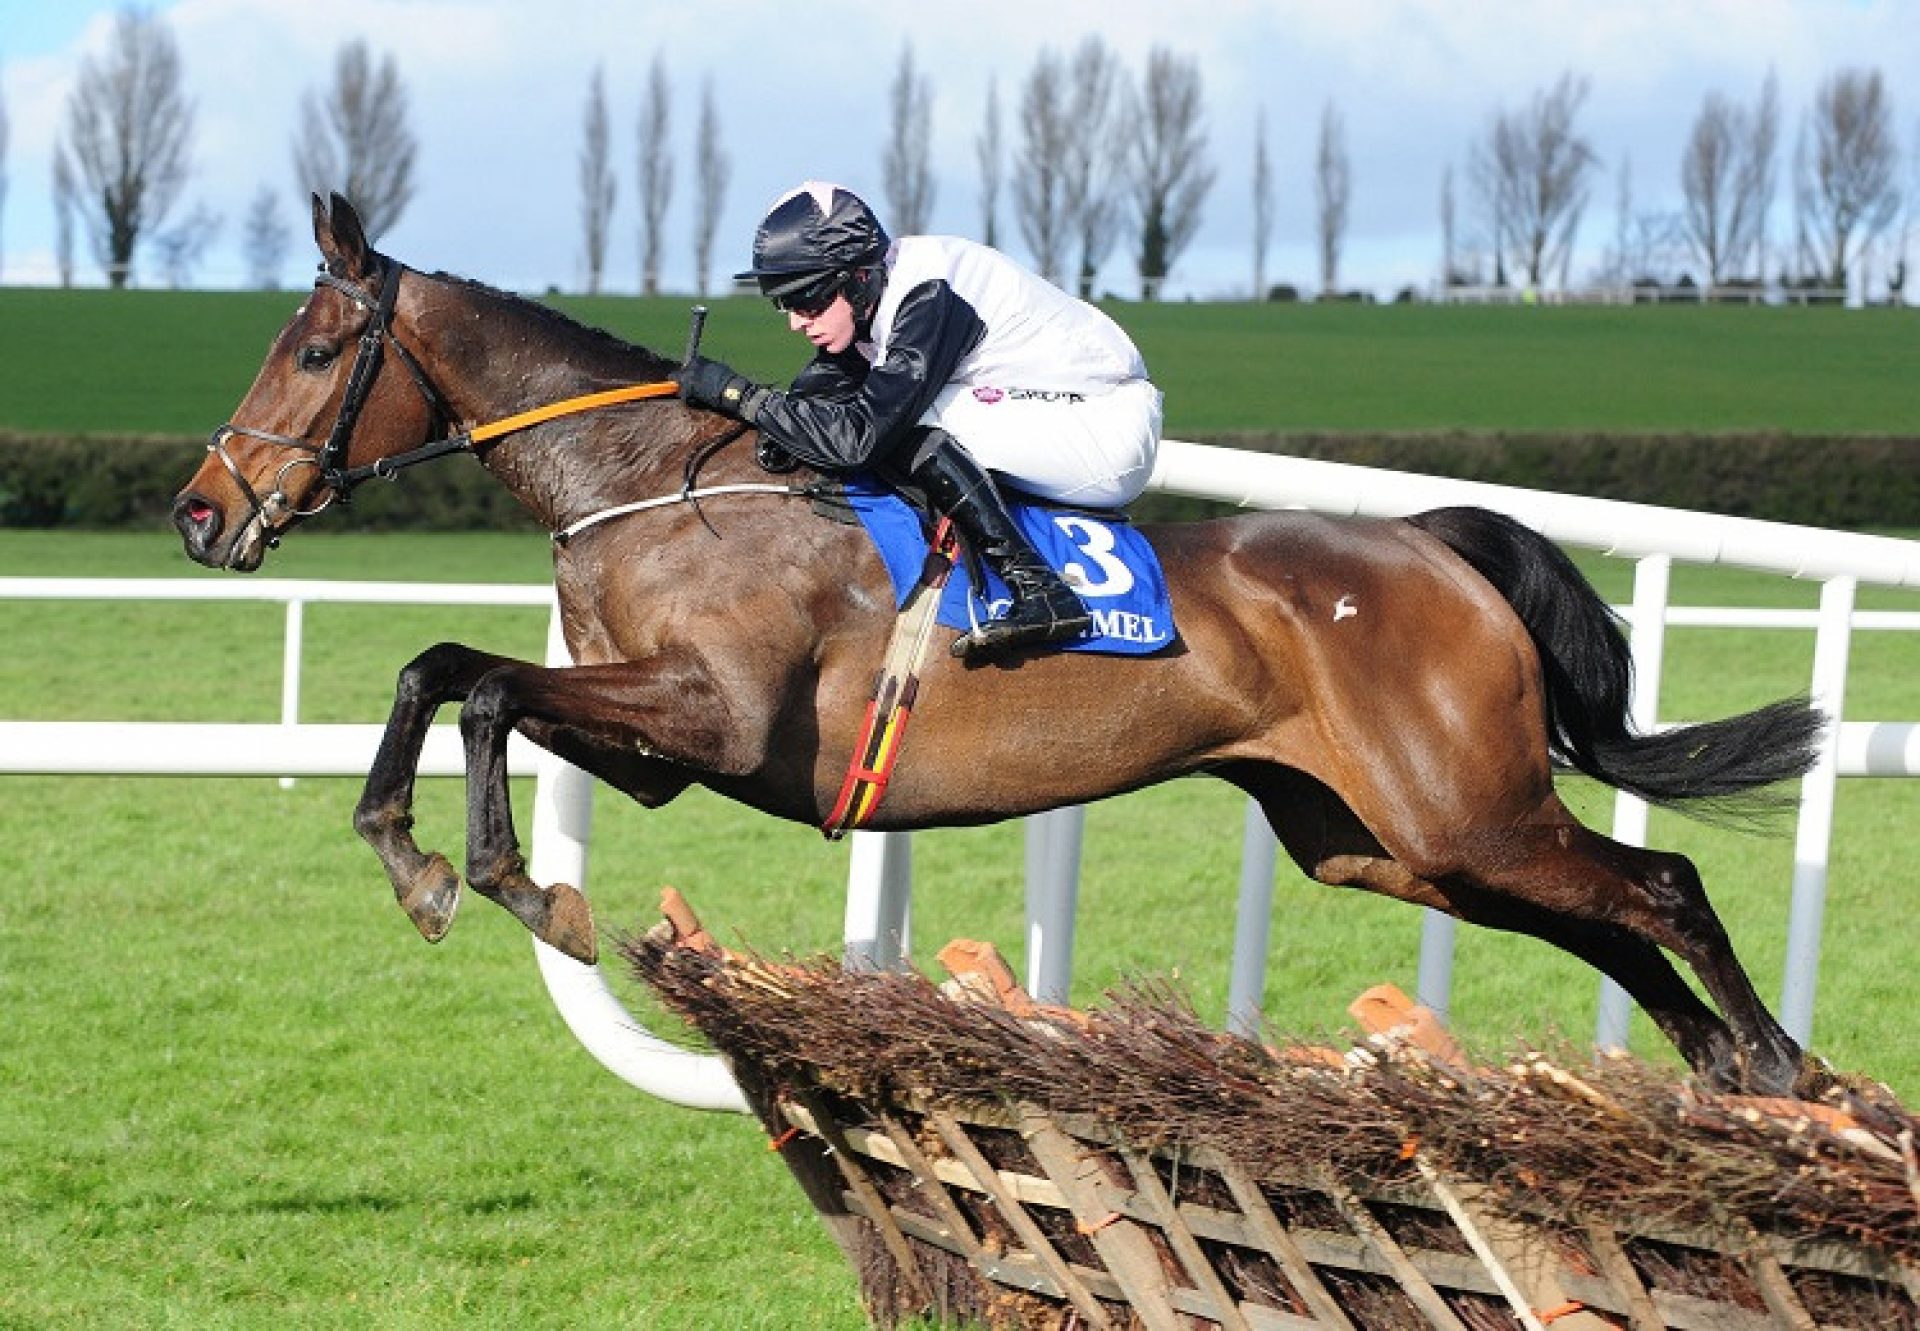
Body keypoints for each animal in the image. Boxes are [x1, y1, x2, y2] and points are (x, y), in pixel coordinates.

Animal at [172, 194, 1820, 1090]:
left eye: (313, 349)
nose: (200, 513)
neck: (662, 481)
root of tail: (1426, 538)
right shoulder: (659, 746)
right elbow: (458, 675)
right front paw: (449, 865)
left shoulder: (714, 716)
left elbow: (467, 679)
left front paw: (487, 876)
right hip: (1386, 839)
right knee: (1598, 914)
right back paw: (1721, 1062)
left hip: (1461, 804)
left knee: (1661, 885)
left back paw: (1776, 1060)